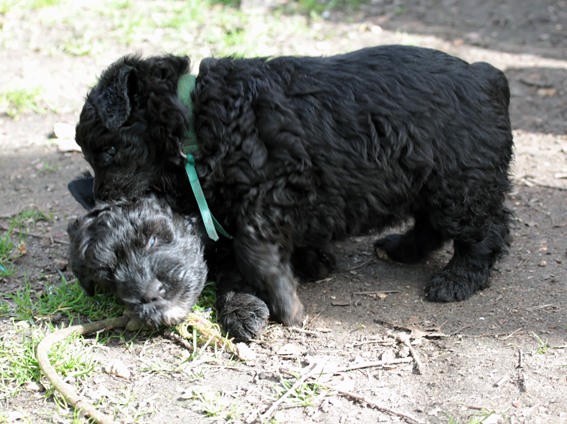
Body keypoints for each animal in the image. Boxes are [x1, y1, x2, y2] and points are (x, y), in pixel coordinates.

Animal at [74, 45, 516, 338]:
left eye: (109, 151)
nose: (100, 200)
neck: (195, 120)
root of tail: (489, 76)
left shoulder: (278, 187)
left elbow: (251, 246)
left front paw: (285, 300)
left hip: (461, 180)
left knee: (485, 231)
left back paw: (456, 280)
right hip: (427, 179)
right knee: (433, 225)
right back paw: (402, 248)